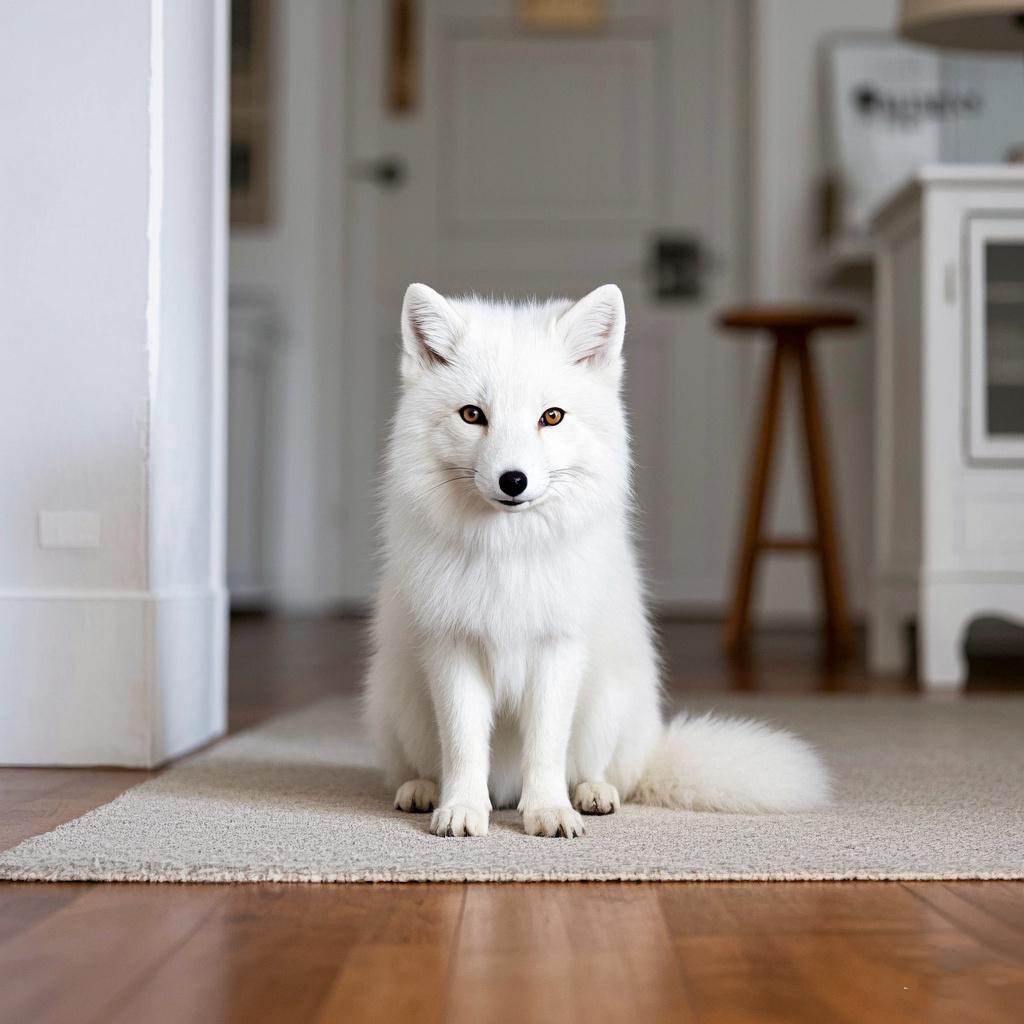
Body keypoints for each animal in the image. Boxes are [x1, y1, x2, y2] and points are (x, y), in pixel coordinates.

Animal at [363, 283, 830, 838]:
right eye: (472, 415)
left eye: (552, 416)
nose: (513, 481)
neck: (509, 554)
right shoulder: (453, 647)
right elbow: (463, 747)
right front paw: (462, 809)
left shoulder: (559, 648)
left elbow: (546, 748)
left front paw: (547, 812)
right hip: (402, 701)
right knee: (420, 765)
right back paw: (423, 791)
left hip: (605, 703)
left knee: (600, 771)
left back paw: (591, 794)